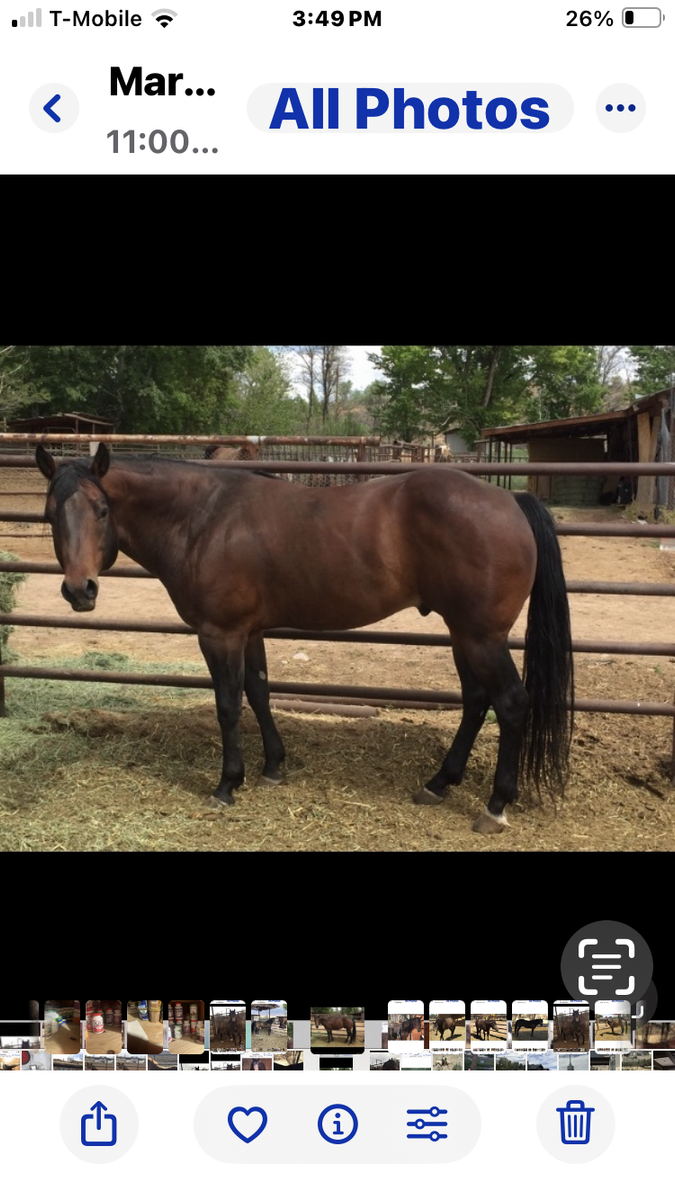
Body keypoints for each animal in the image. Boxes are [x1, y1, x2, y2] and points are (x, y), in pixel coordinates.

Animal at [36, 446, 574, 834]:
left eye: (102, 510)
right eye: (50, 515)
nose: (79, 590)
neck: (203, 519)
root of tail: (509, 501)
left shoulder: (219, 634)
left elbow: (228, 706)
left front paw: (228, 784)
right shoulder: (249, 631)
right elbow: (259, 691)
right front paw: (273, 765)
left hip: (482, 637)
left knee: (510, 703)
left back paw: (496, 805)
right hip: (463, 633)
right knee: (476, 700)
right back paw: (439, 783)